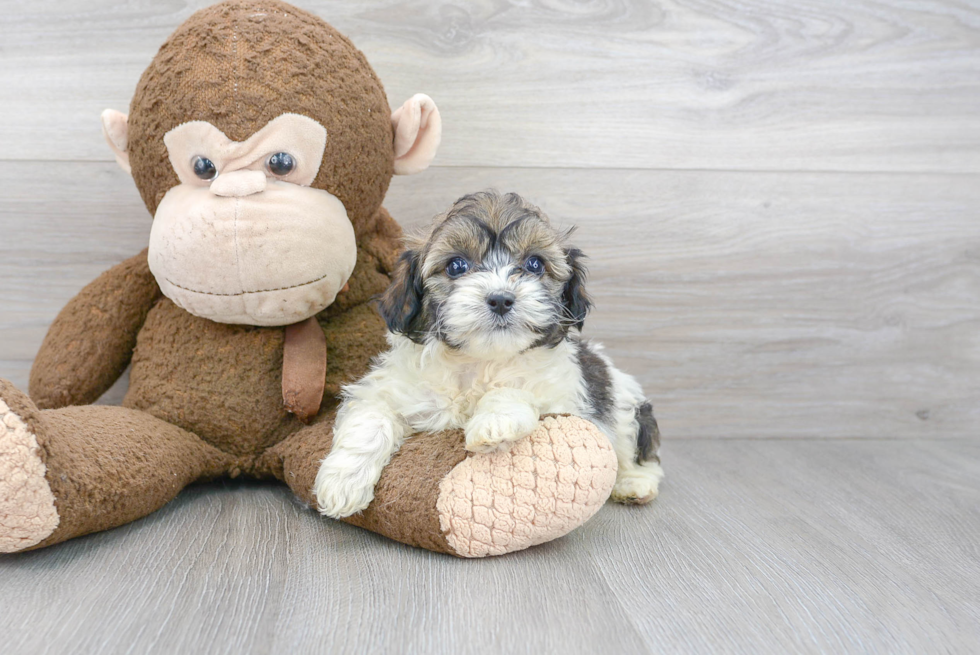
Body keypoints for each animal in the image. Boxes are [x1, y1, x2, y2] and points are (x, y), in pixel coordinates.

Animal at [318, 192, 664, 520]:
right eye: (456, 265)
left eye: (535, 264)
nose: (500, 299)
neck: (479, 361)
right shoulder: (389, 388)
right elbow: (371, 417)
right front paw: (341, 484)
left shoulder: (564, 399)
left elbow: (516, 390)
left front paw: (495, 423)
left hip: (625, 408)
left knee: (636, 452)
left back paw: (634, 484)